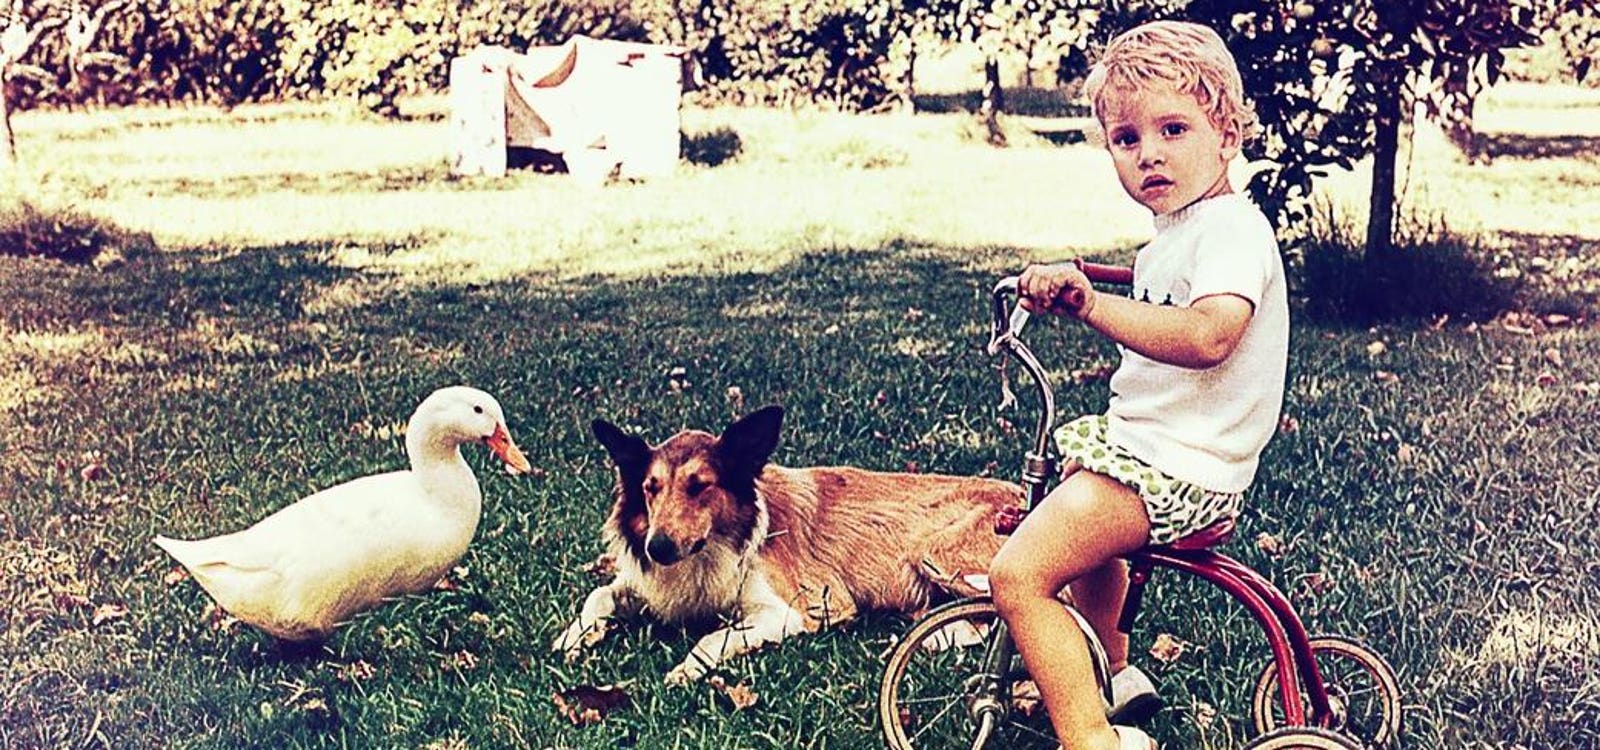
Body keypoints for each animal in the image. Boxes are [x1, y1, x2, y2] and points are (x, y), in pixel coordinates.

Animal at [552, 405, 1022, 683]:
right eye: (650, 489)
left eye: (700, 486)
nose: (658, 548)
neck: (709, 549)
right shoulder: (647, 583)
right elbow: (598, 595)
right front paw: (574, 639)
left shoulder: (798, 609)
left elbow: (714, 638)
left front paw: (685, 670)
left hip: (936, 553)